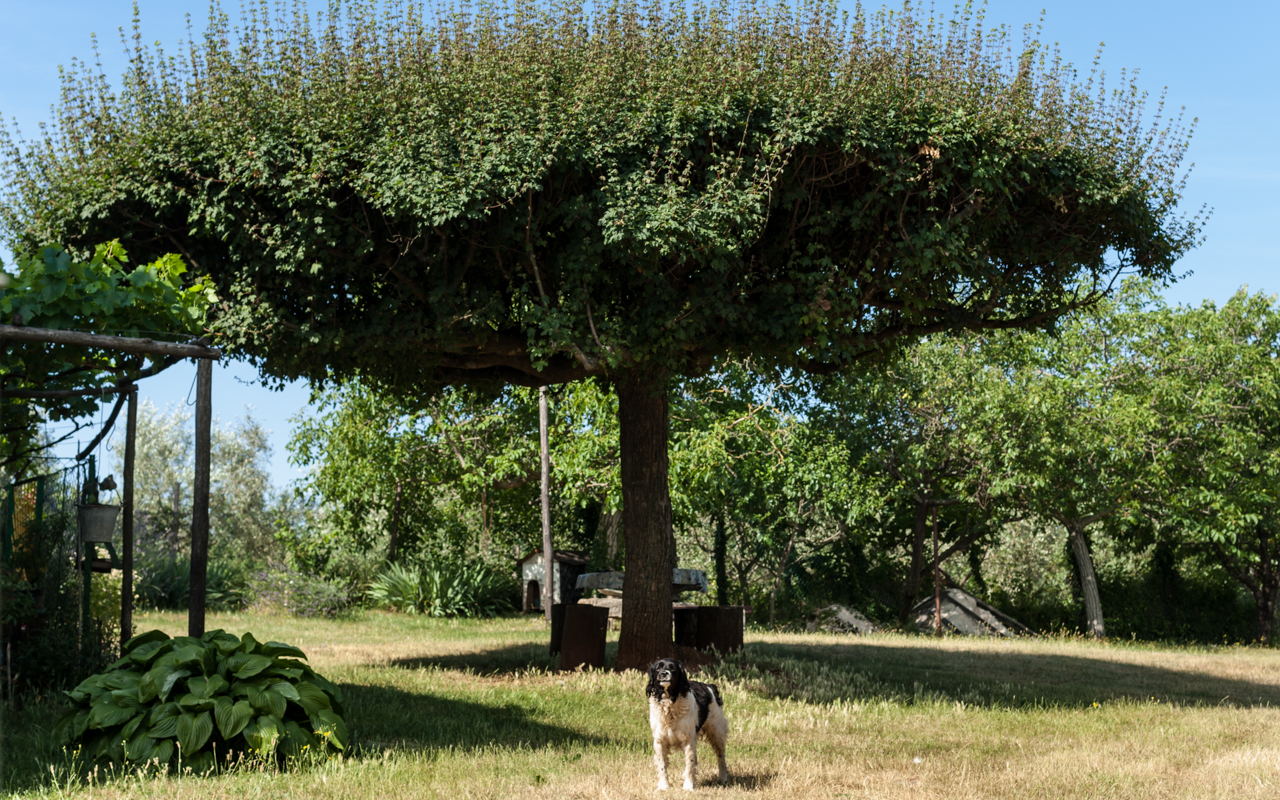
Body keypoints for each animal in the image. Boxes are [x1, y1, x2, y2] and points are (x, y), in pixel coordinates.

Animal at [645, 660, 727, 788]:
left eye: (672, 668)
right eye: (658, 668)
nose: (664, 673)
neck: (669, 703)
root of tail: (709, 686)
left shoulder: (688, 739)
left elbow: (690, 763)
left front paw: (688, 786)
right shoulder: (659, 740)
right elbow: (662, 765)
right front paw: (663, 786)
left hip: (716, 732)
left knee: (721, 756)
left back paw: (723, 778)